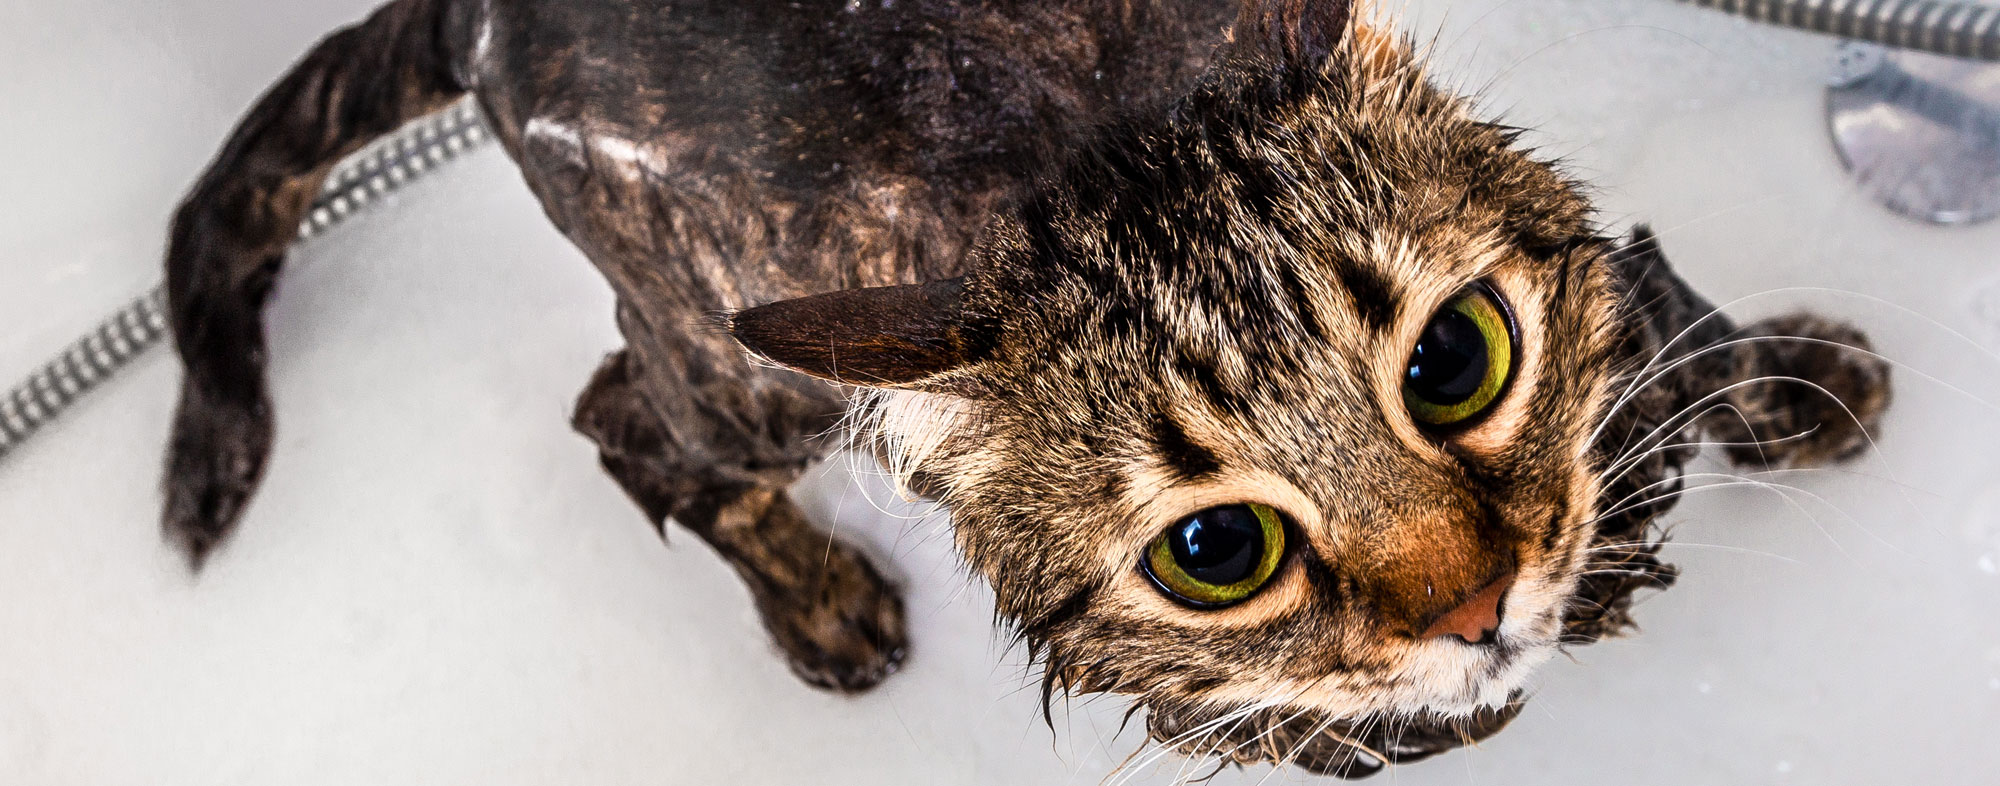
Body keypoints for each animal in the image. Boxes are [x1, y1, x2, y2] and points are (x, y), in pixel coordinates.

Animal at [160, 0, 1888, 776]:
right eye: (1218, 551)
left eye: (1455, 360)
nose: (1475, 608)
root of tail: (489, 12)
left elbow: (1677, 328)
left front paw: (1795, 380)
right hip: (744, 359)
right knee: (624, 422)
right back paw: (820, 602)